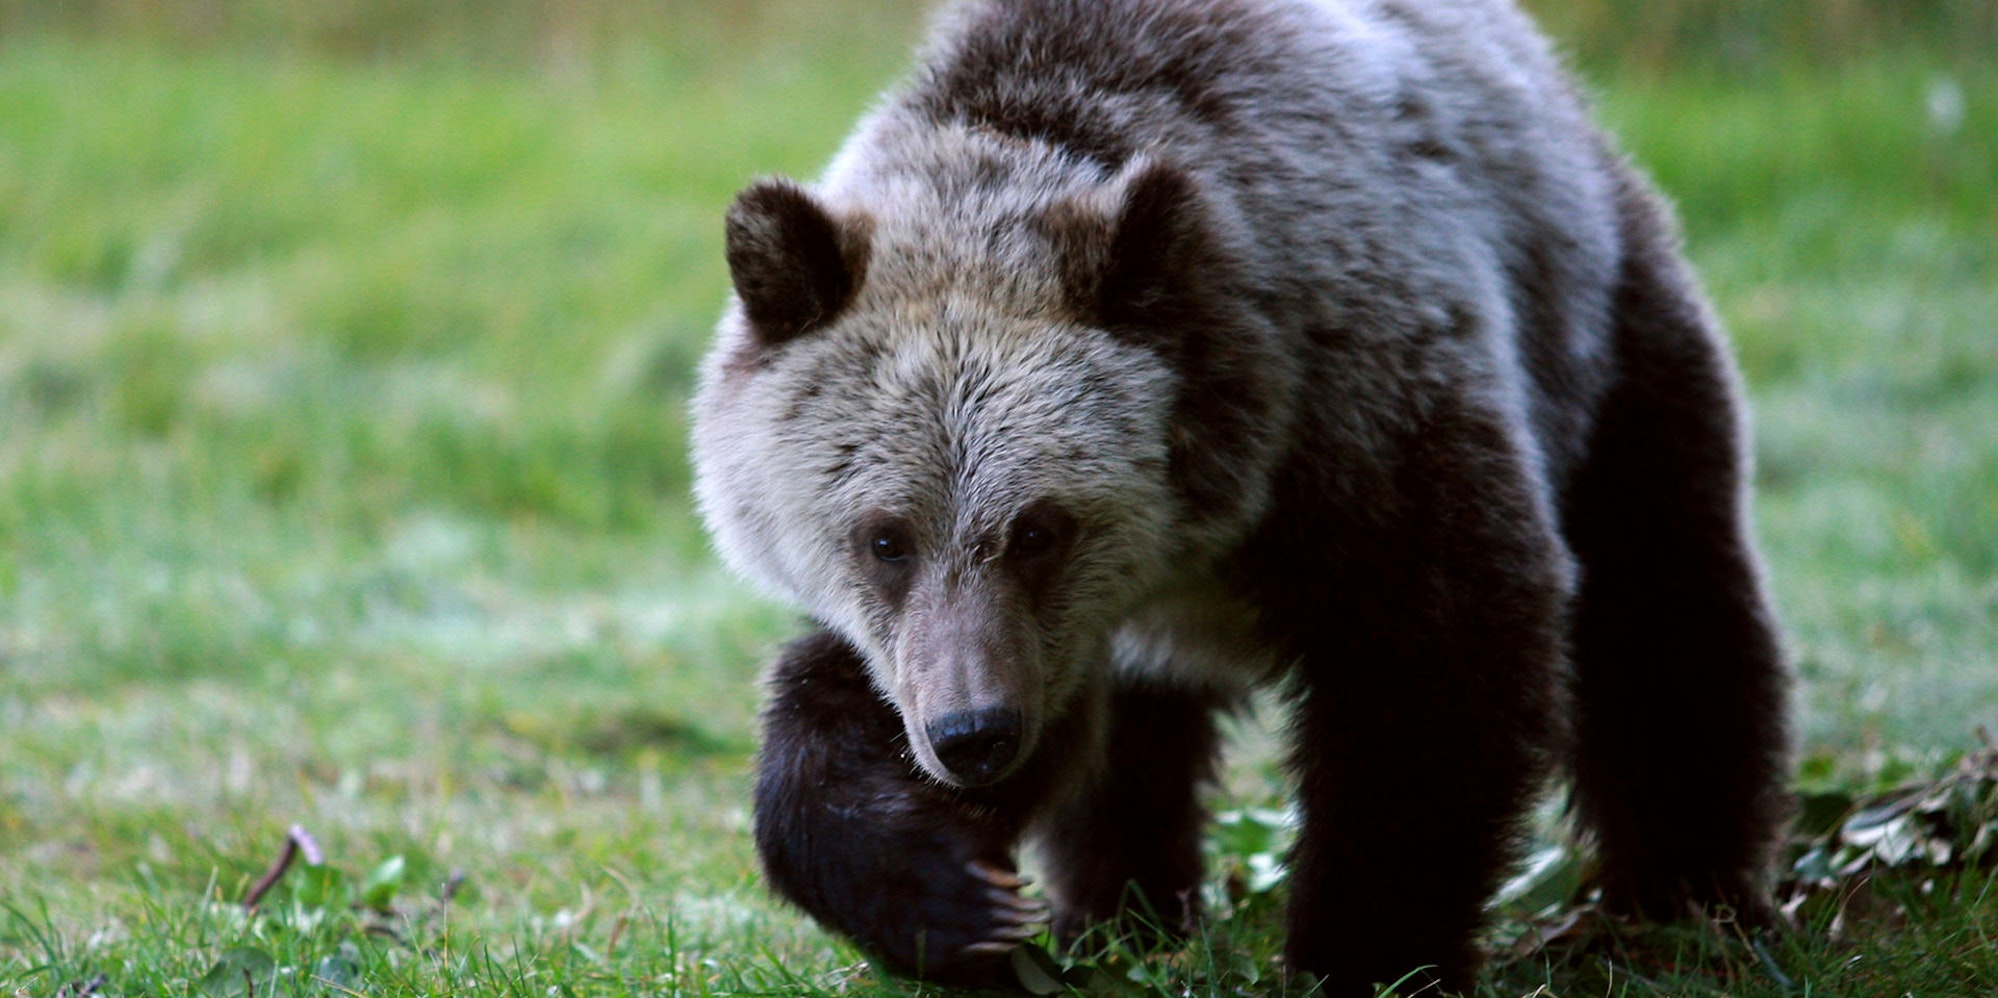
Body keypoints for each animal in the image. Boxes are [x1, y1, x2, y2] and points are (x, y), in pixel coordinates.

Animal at [689, 0, 1792, 992]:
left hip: (1598, 339)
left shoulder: (1370, 418)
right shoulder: (1031, 637)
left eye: (1040, 528)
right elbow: (886, 711)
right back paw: (1120, 910)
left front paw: (1365, 953)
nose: (971, 736)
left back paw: (1681, 894)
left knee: (1666, 614)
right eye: (884, 537)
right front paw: (938, 885)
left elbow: (1437, 675)